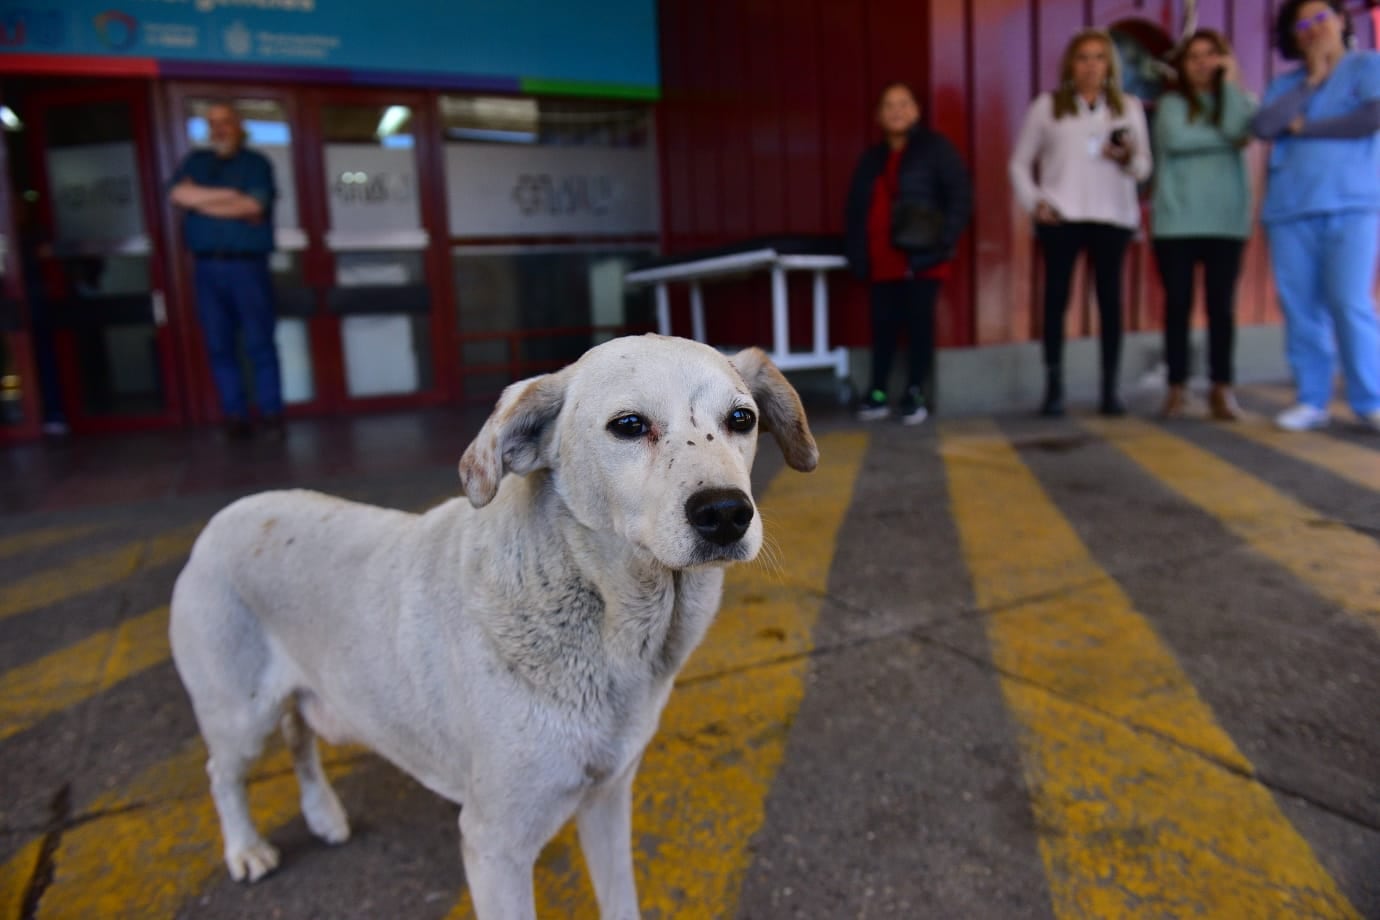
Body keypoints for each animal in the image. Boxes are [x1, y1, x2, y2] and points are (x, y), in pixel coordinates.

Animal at [172, 335, 816, 915]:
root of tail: (223, 516)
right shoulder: (495, 847)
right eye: (629, 425)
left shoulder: (607, 801)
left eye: (741, 418)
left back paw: (324, 815)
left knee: (300, 738)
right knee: (222, 772)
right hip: (238, 716)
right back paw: (246, 849)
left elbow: (620, 902)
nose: (727, 513)